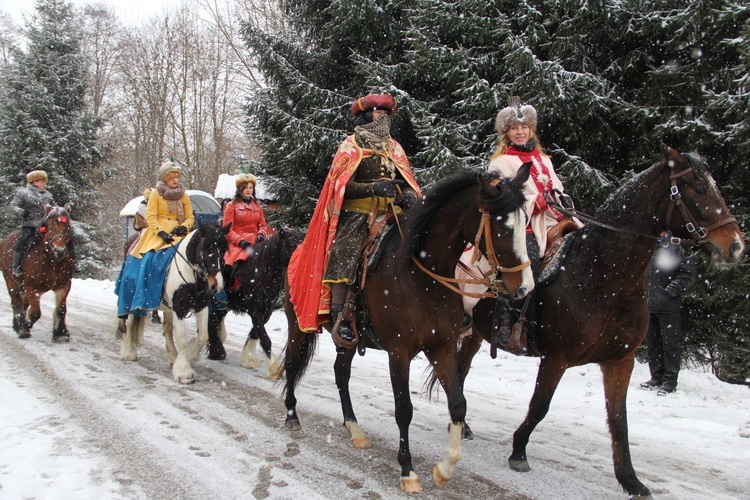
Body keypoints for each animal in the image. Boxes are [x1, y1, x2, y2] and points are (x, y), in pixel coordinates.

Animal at [0, 203, 75, 340]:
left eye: (67, 225)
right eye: (49, 224)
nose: (59, 251)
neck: (52, 261)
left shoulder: (64, 286)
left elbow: (61, 310)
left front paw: (61, 333)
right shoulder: (31, 288)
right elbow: (35, 313)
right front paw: (25, 326)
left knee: (23, 303)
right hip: (11, 281)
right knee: (16, 303)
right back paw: (20, 325)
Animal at [117, 223, 228, 382]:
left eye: (224, 250)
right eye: (207, 250)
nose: (216, 285)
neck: (189, 274)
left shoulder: (201, 306)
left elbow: (202, 336)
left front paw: (190, 356)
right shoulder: (179, 308)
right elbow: (182, 339)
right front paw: (183, 371)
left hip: (167, 308)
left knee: (167, 329)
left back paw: (172, 357)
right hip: (131, 299)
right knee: (131, 324)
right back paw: (129, 352)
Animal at [206, 228, 306, 378]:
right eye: (291, 243)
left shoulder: (266, 312)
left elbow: (255, 333)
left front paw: (249, 358)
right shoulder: (254, 310)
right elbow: (264, 338)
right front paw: (273, 368)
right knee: (212, 320)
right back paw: (216, 351)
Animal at [280, 167, 536, 492]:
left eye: (525, 222)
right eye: (502, 227)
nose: (525, 287)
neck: (423, 274)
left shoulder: (441, 346)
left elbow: (458, 404)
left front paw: (445, 468)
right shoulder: (399, 352)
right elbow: (404, 410)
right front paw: (408, 470)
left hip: (346, 340)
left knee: (341, 373)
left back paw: (355, 429)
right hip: (297, 323)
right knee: (291, 363)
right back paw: (292, 416)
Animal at [458, 144, 748, 496]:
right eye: (700, 188)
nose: (735, 246)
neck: (603, 275)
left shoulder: (620, 360)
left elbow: (619, 421)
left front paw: (630, 479)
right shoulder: (556, 358)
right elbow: (540, 406)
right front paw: (518, 451)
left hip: (473, 333)